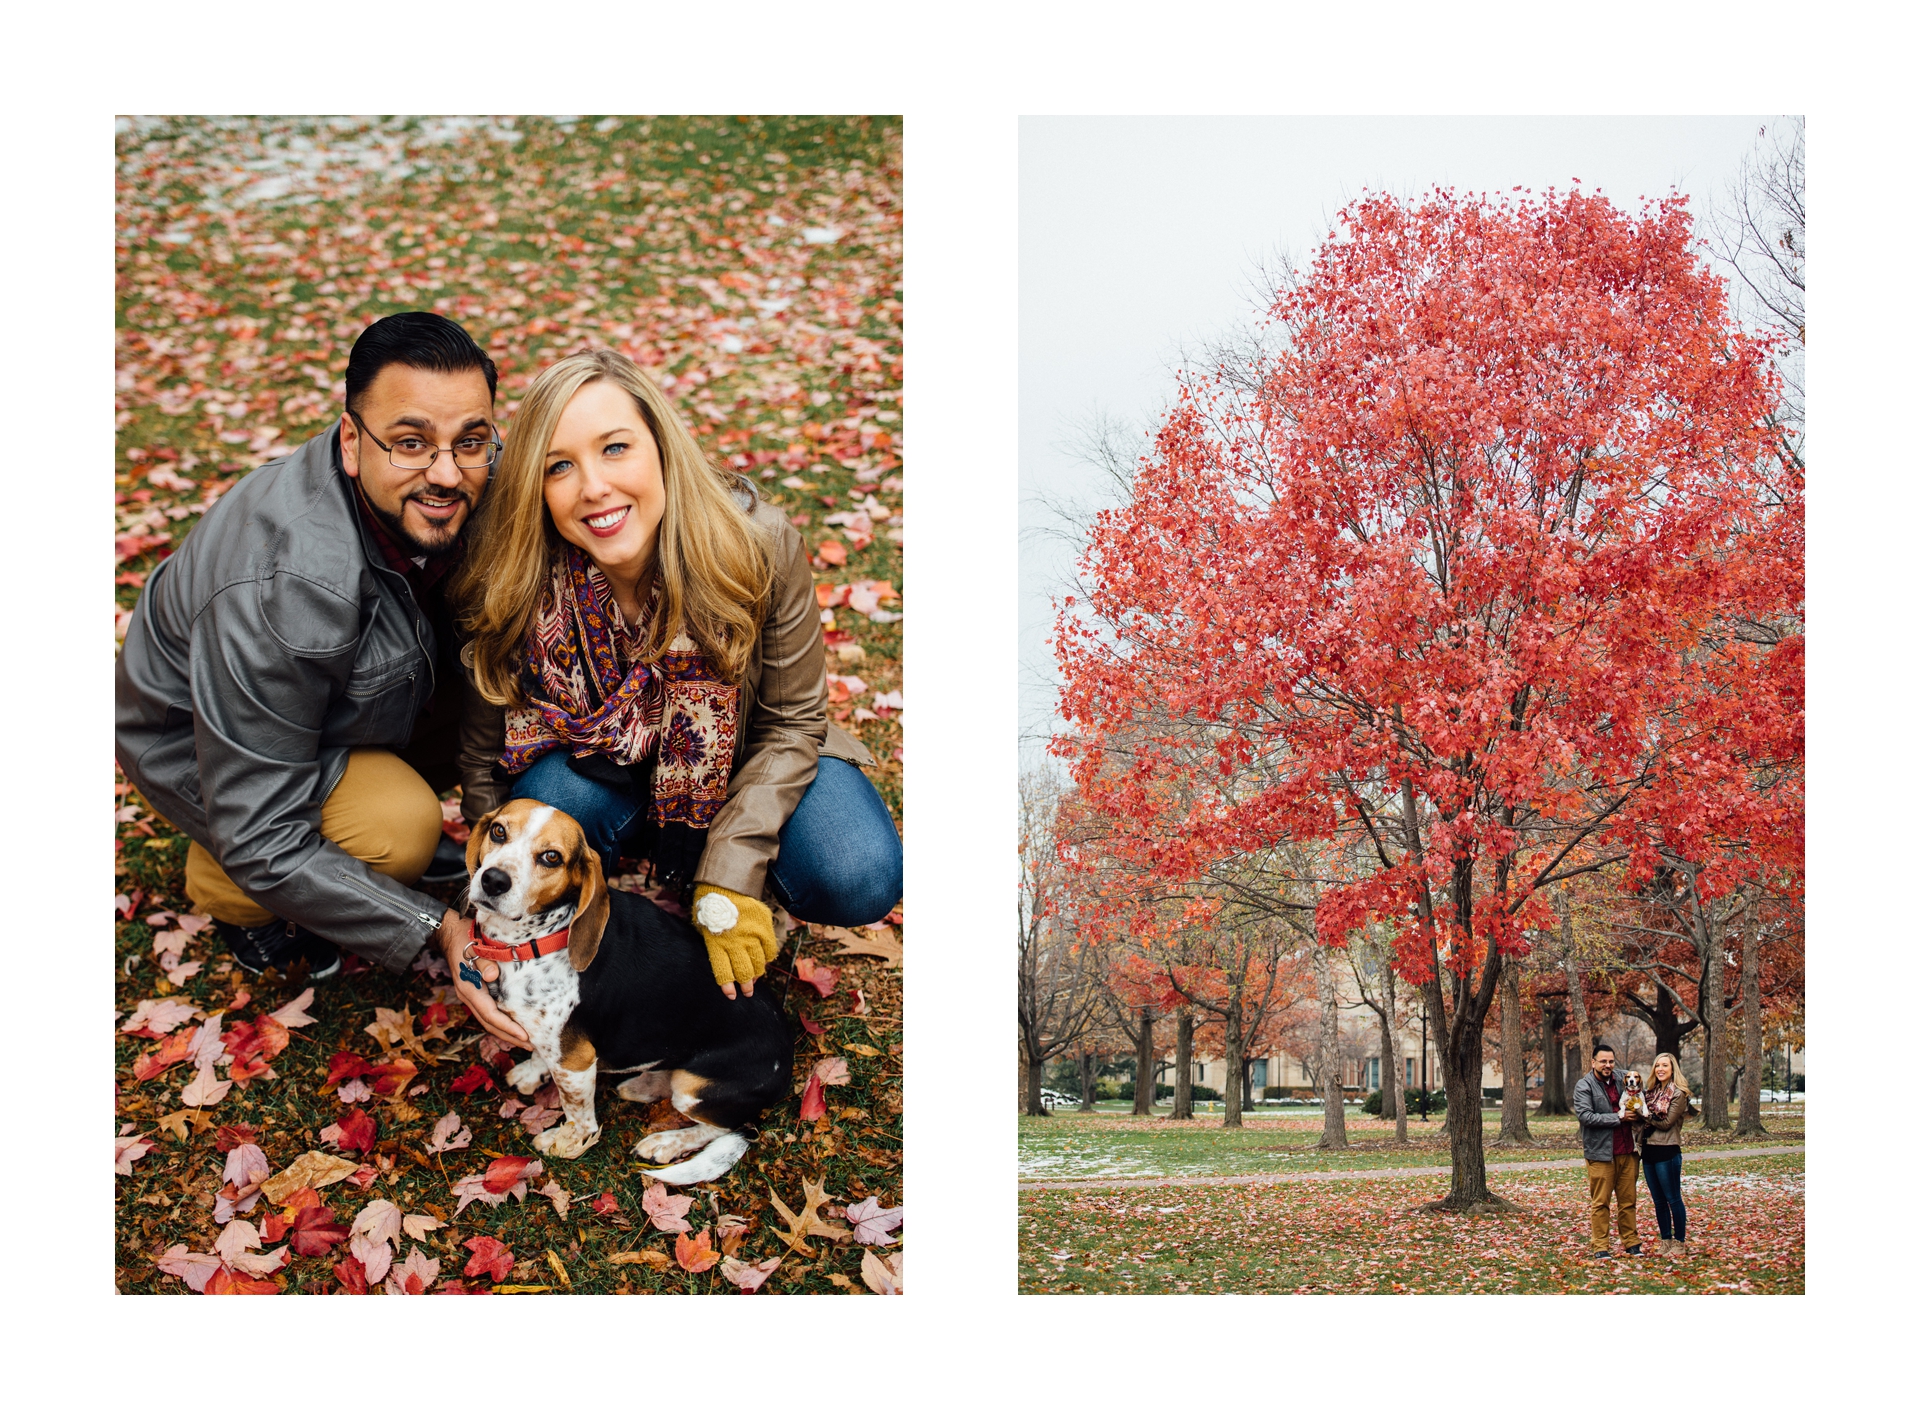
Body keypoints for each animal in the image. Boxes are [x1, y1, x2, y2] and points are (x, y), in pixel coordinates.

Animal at [462, 799, 787, 1191]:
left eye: (552, 857)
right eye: (498, 831)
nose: (494, 880)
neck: (537, 941)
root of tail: (788, 1060)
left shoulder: (575, 1063)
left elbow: (579, 1116)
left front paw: (566, 1142)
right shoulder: (555, 1042)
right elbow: (541, 1052)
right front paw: (531, 1071)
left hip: (694, 1086)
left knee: (725, 1128)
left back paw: (665, 1142)